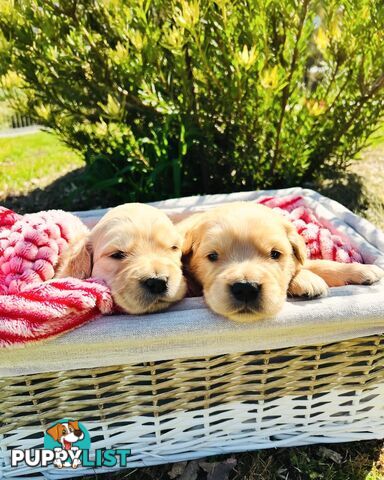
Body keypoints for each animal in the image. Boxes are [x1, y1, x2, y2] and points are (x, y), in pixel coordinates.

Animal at [178, 202, 384, 322]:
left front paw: (361, 270)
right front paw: (307, 280)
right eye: (212, 256)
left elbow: (315, 264)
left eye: (275, 254)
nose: (246, 288)